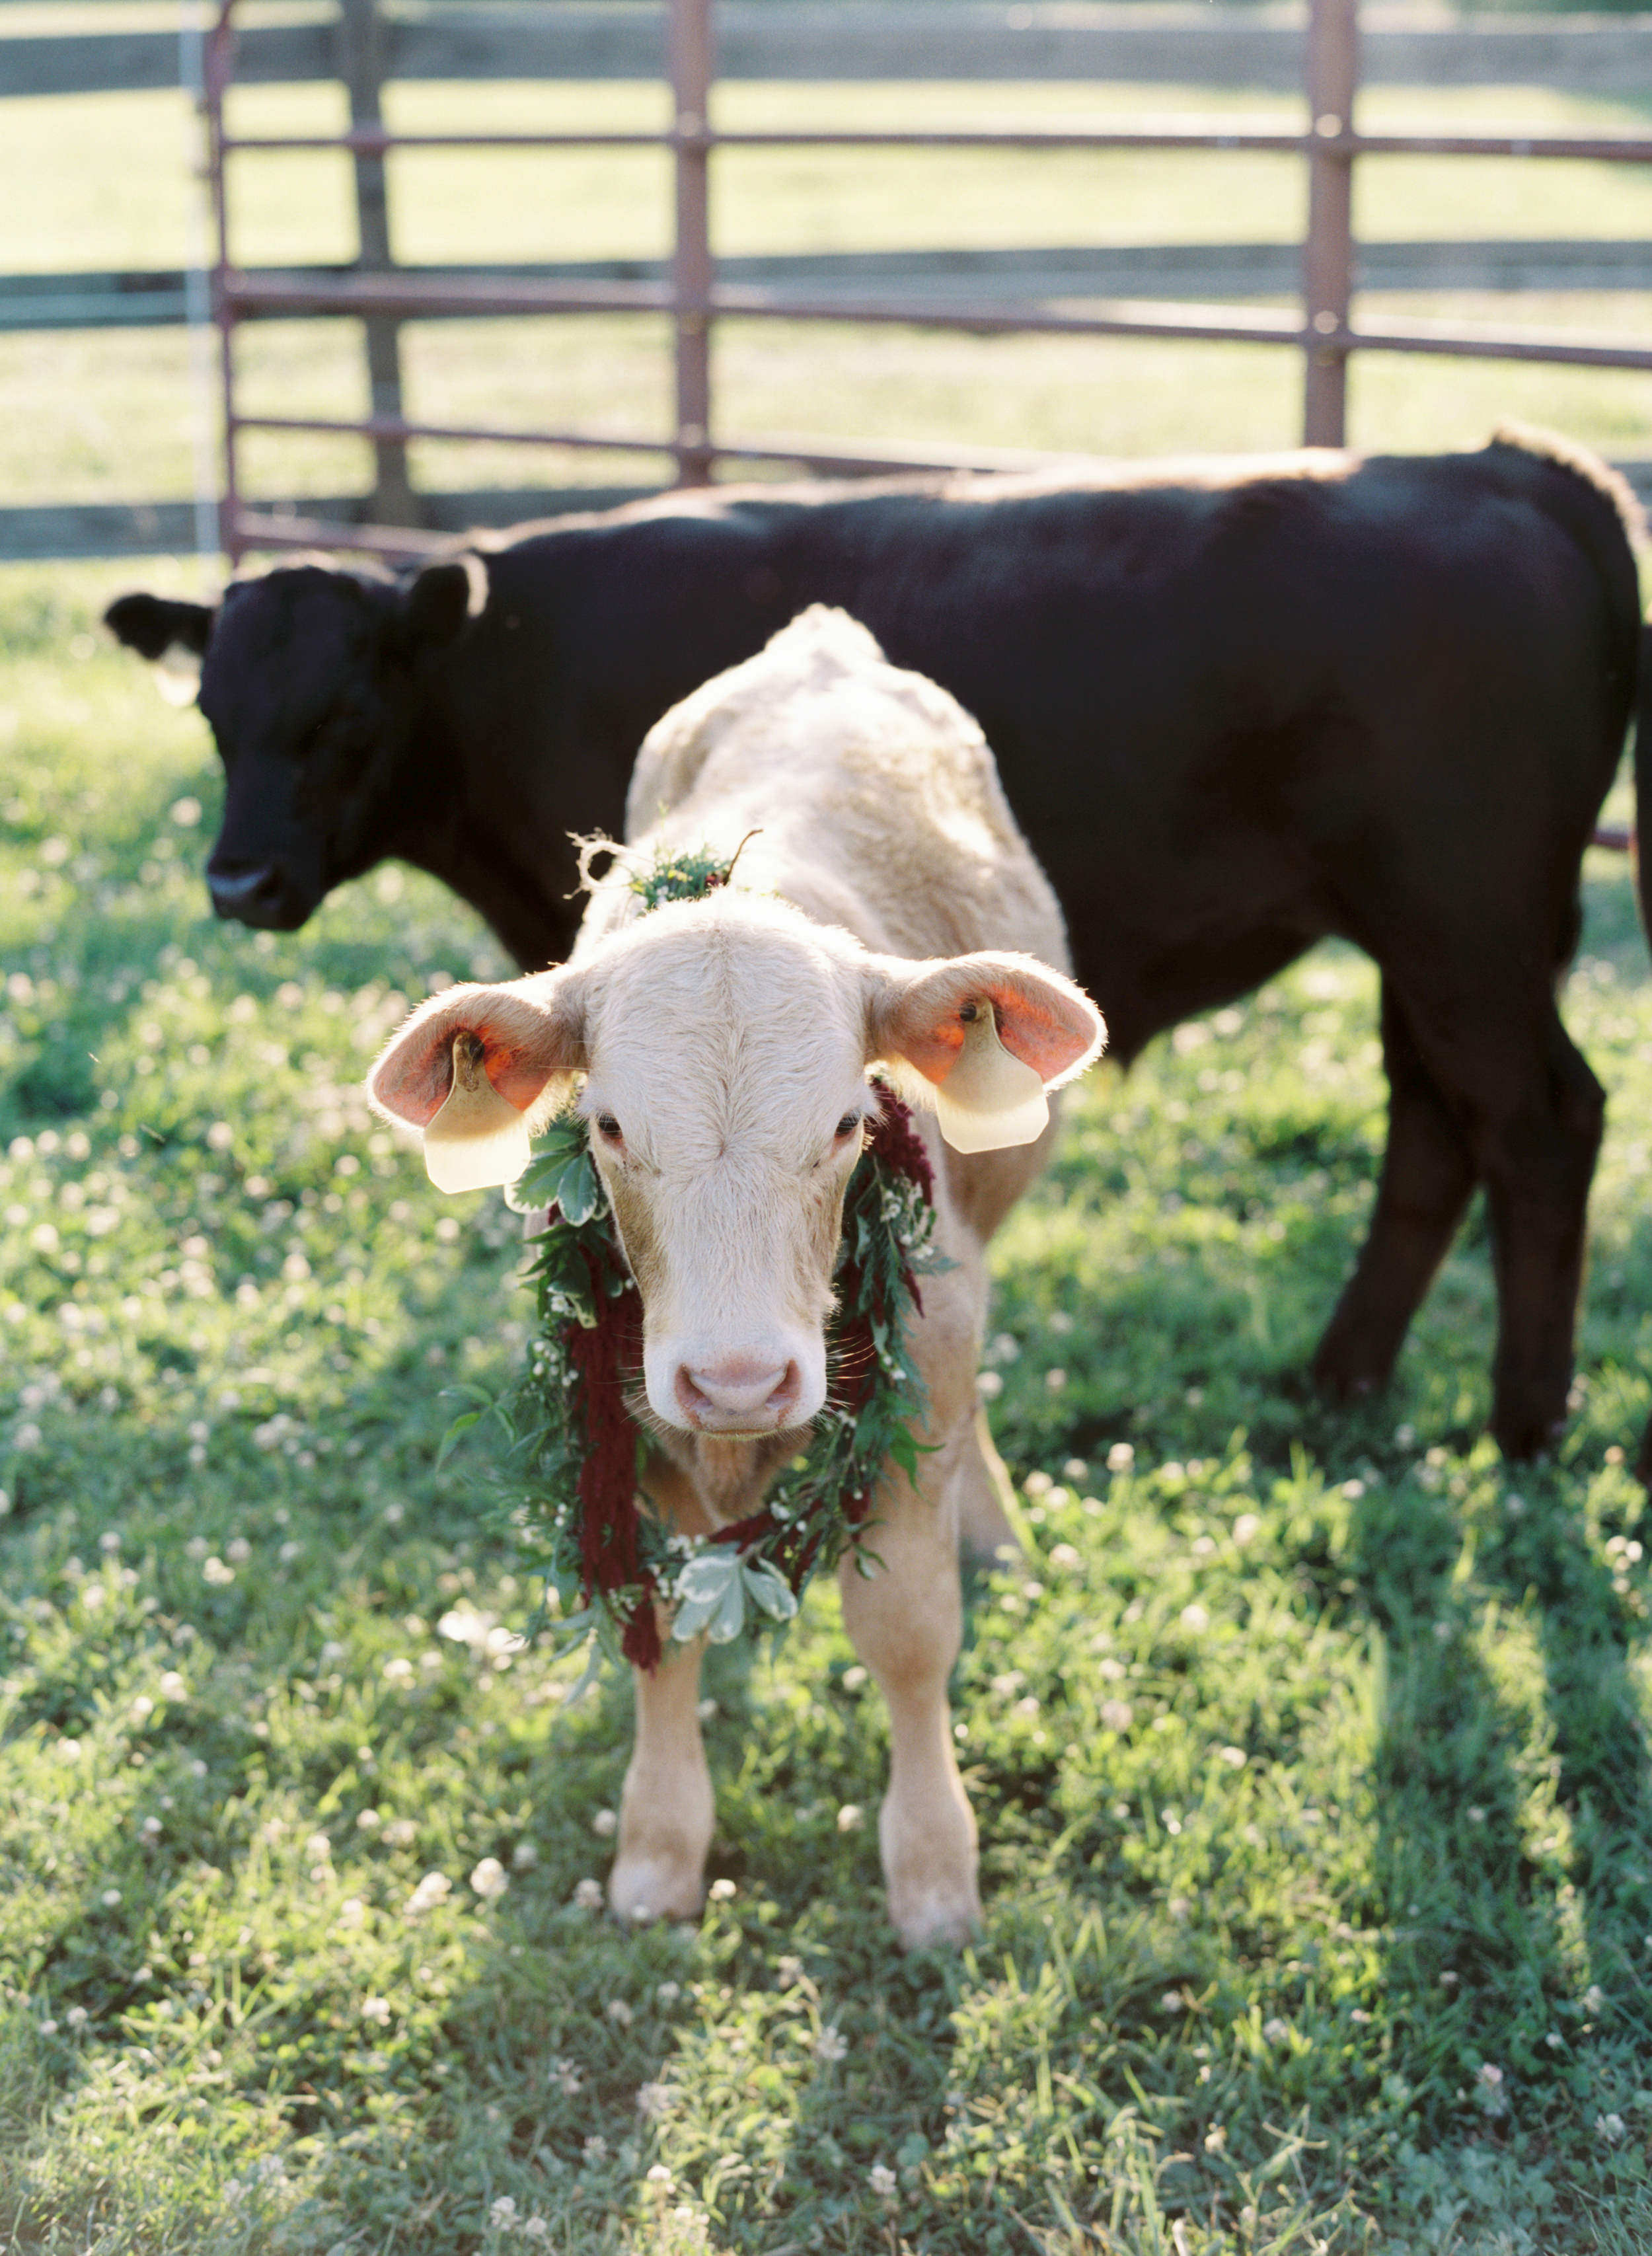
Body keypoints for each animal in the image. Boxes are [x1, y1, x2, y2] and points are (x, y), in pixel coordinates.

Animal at [105, 427, 1650, 1464]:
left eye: (342, 718)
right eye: (215, 718)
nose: (239, 881)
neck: (517, 656)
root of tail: (1496, 464)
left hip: (1464, 934)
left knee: (1539, 1124)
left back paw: (1521, 1425)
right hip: (1435, 947)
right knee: (1433, 1127)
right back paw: (1340, 1384)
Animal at [366, 608, 1105, 1944]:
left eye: (848, 1122)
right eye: (605, 1126)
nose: (739, 1380)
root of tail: (821, 638)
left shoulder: (932, 1356)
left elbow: (909, 1631)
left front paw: (935, 1869)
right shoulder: (625, 1407)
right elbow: (660, 1630)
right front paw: (660, 1845)